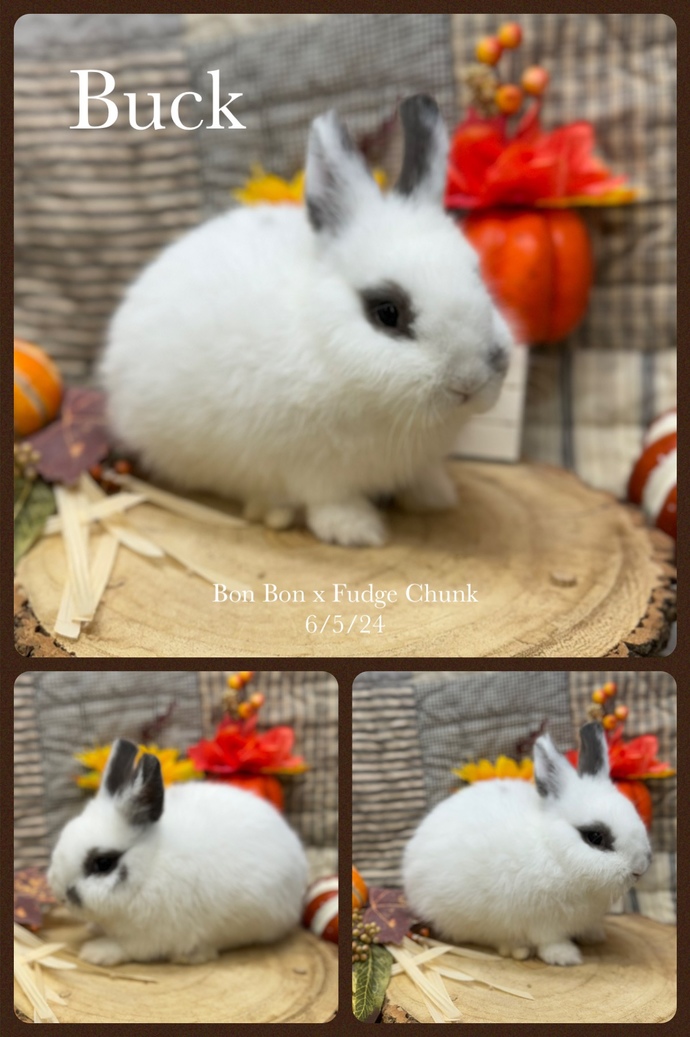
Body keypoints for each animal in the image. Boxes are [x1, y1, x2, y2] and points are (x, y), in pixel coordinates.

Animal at [47, 739, 309, 966]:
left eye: (103, 863)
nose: (61, 896)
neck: (149, 867)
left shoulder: (151, 937)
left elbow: (127, 948)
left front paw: (95, 952)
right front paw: (93, 929)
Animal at [100, 94, 514, 547]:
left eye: (478, 279)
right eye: (387, 312)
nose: (469, 382)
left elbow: (421, 476)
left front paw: (436, 498)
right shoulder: (311, 468)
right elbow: (330, 500)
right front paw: (357, 532)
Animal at [402, 722, 652, 966]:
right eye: (595, 837)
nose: (639, 869)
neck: (554, 852)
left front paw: (595, 936)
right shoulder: (541, 921)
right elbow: (549, 941)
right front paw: (566, 957)